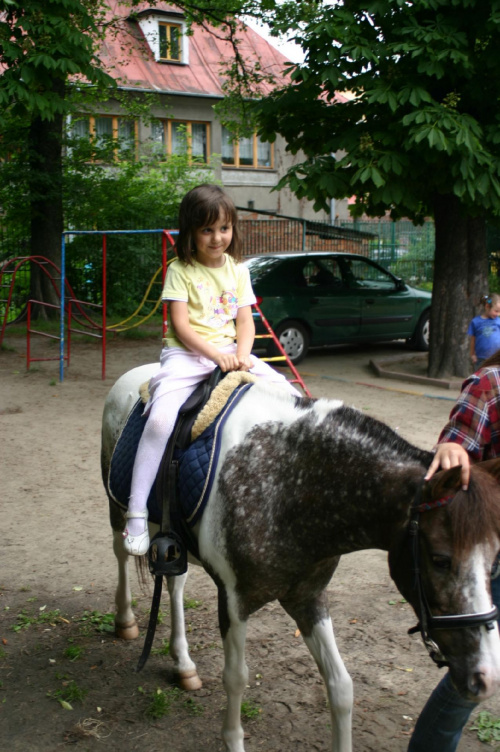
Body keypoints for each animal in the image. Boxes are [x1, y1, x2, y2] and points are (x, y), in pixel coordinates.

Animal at [101, 364, 500, 752]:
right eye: (440, 559)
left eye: (493, 561)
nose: (485, 678)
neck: (288, 485)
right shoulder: (234, 601)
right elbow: (237, 679)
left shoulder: (307, 597)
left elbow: (341, 686)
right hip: (119, 511)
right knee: (121, 554)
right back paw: (125, 620)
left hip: (174, 541)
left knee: (176, 582)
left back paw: (184, 664)